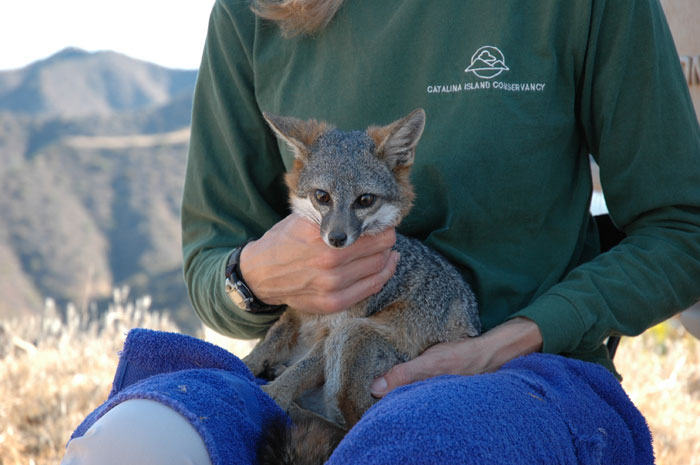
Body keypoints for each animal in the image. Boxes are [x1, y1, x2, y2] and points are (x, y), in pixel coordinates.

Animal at [242, 108, 481, 464]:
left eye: (364, 200)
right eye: (322, 196)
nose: (337, 238)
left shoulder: (333, 332)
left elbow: (300, 372)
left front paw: (273, 394)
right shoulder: (296, 313)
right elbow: (266, 345)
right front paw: (241, 365)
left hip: (351, 337)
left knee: (352, 425)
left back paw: (298, 410)